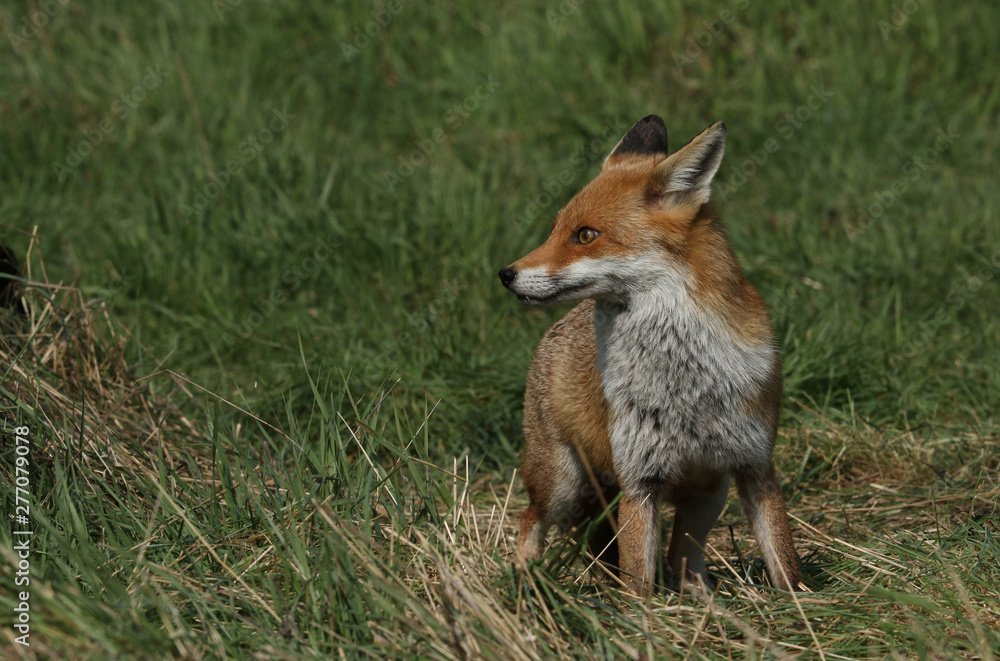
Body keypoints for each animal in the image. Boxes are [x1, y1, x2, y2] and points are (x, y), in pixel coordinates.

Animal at [498, 115, 802, 595]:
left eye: (585, 235)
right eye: (555, 230)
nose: (506, 275)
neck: (685, 382)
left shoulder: (754, 466)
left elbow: (785, 563)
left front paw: (803, 605)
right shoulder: (639, 480)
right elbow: (638, 584)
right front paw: (642, 615)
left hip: (705, 497)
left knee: (682, 559)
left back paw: (703, 600)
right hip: (563, 483)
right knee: (530, 519)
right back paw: (527, 582)